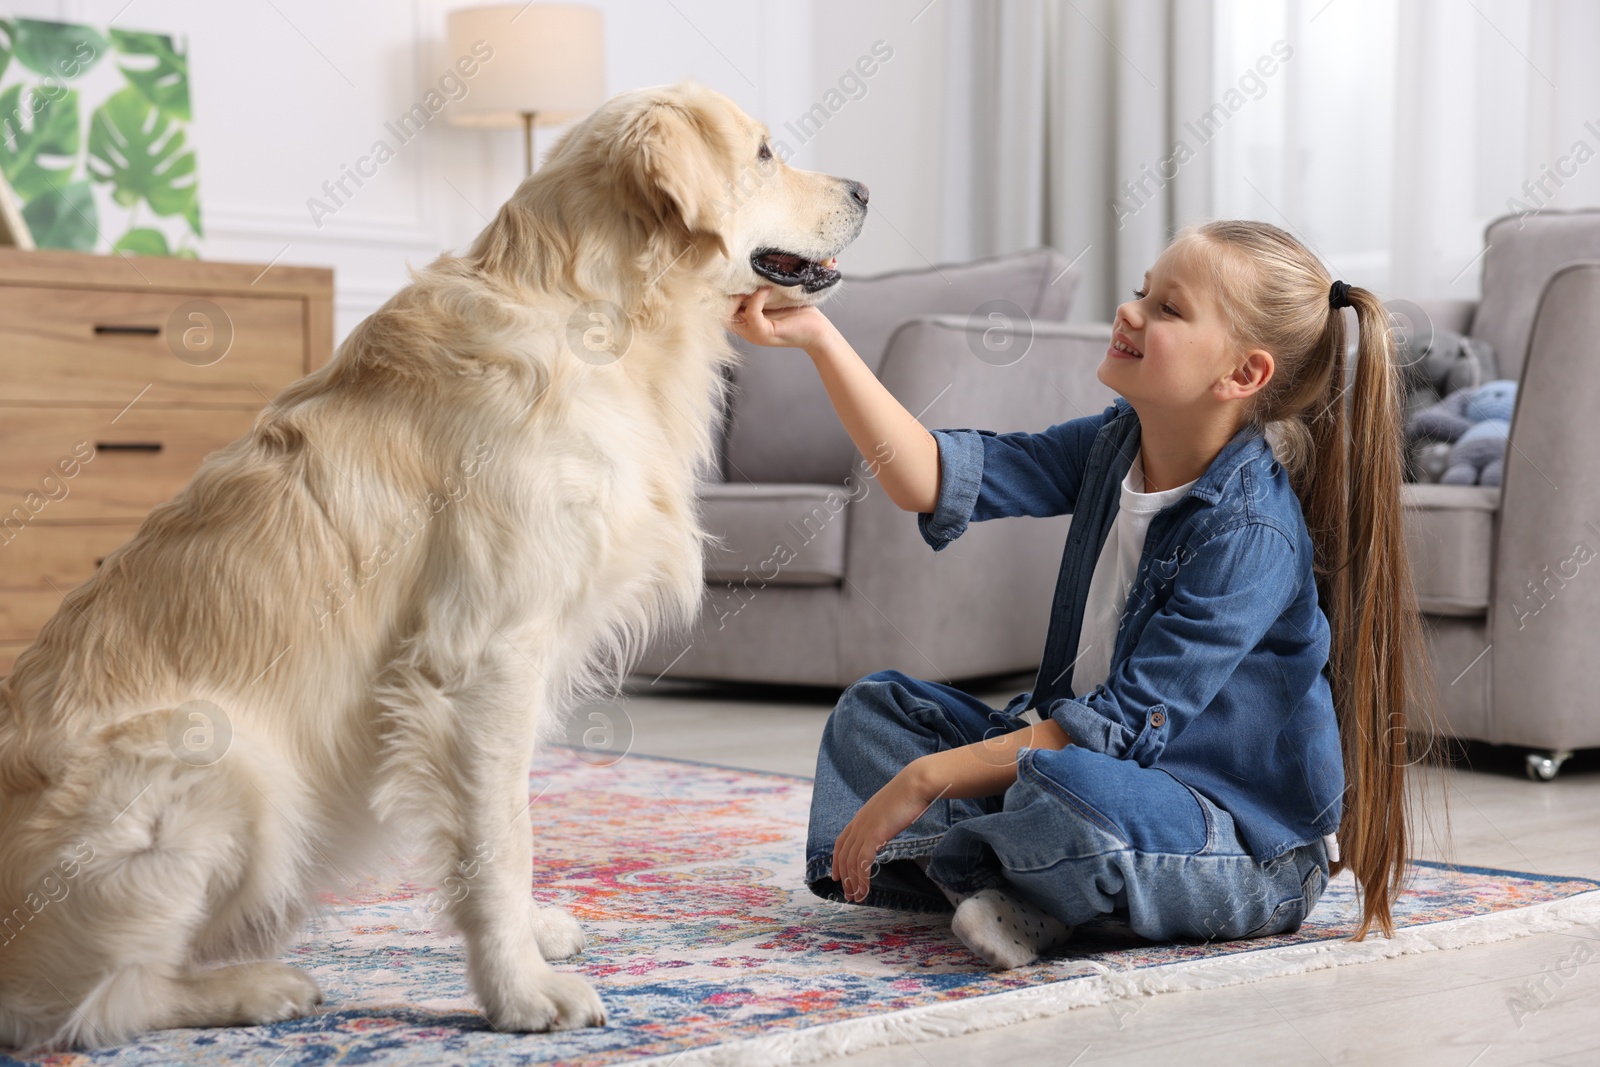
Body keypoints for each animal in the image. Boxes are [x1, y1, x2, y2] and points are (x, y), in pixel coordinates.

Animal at [0, 83, 870, 1049]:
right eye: (764, 153)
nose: (866, 190)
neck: (601, 314)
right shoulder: (484, 654)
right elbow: (500, 837)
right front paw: (520, 991)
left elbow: (508, 814)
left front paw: (531, 938)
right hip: (224, 758)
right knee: (95, 1005)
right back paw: (259, 986)